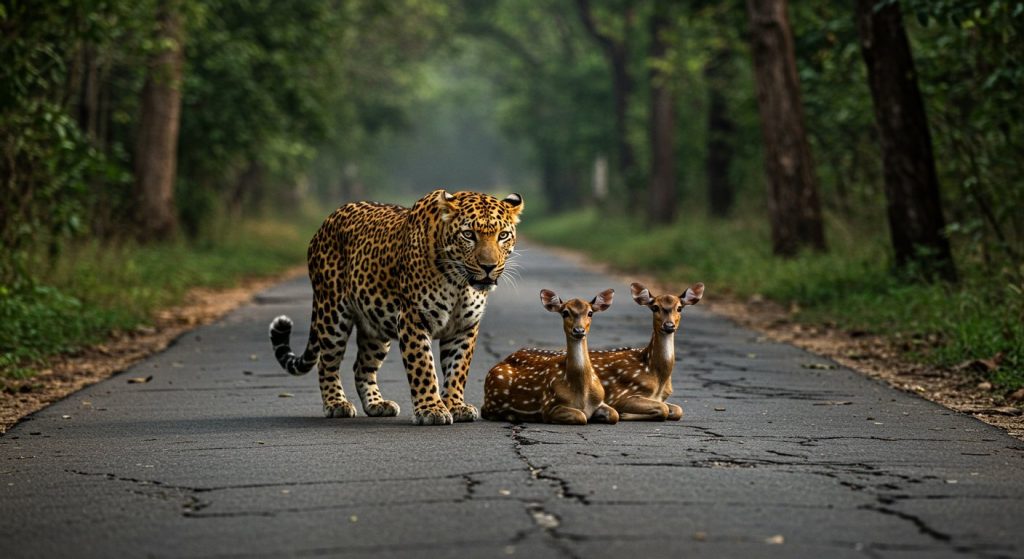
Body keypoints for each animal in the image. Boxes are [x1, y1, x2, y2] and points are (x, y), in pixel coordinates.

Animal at [268, 189, 523, 425]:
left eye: (502, 236)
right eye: (469, 234)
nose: (489, 267)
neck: (460, 283)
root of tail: (327, 220)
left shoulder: (464, 327)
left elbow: (458, 369)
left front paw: (455, 405)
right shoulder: (413, 319)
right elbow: (423, 367)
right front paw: (431, 409)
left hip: (375, 327)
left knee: (361, 366)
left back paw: (376, 404)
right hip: (332, 314)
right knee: (326, 362)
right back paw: (336, 403)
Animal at [482, 289, 620, 425]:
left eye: (590, 313)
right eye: (565, 312)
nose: (579, 330)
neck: (583, 395)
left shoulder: (600, 401)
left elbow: (615, 414)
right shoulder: (549, 407)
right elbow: (582, 417)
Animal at [590, 282, 704, 421]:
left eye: (679, 308)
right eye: (655, 307)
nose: (669, 325)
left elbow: (678, 410)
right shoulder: (620, 396)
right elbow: (664, 409)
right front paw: (624, 414)